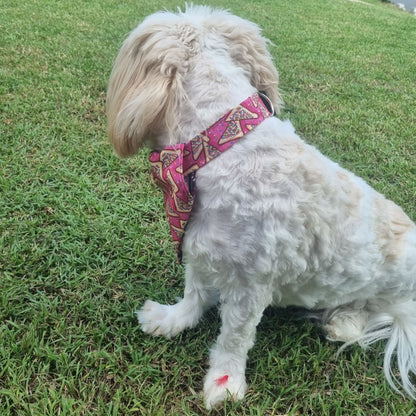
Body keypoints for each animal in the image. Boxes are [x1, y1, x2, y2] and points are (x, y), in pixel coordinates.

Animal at [106, 4, 416, 408]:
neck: (222, 145)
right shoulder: (199, 247)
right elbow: (194, 294)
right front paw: (173, 319)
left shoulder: (250, 285)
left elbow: (234, 338)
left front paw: (224, 384)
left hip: (392, 289)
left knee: (378, 312)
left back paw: (343, 322)